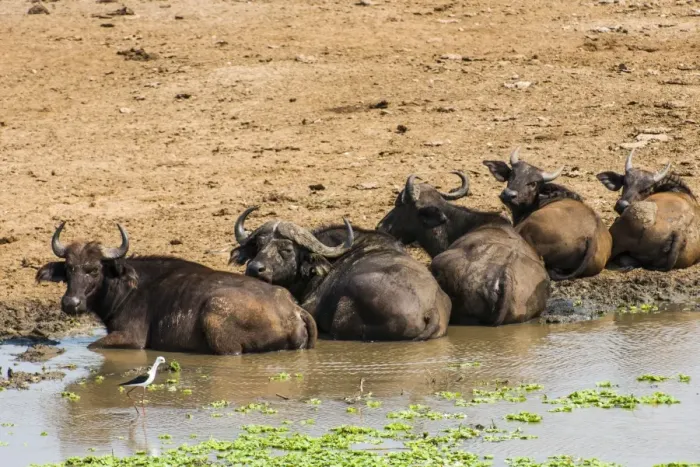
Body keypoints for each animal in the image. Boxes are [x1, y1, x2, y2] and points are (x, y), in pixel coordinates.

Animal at [36, 223, 317, 354]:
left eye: (94, 269)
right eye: (69, 268)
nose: (70, 303)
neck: (128, 287)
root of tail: (293, 310)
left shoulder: (131, 339)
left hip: (216, 319)